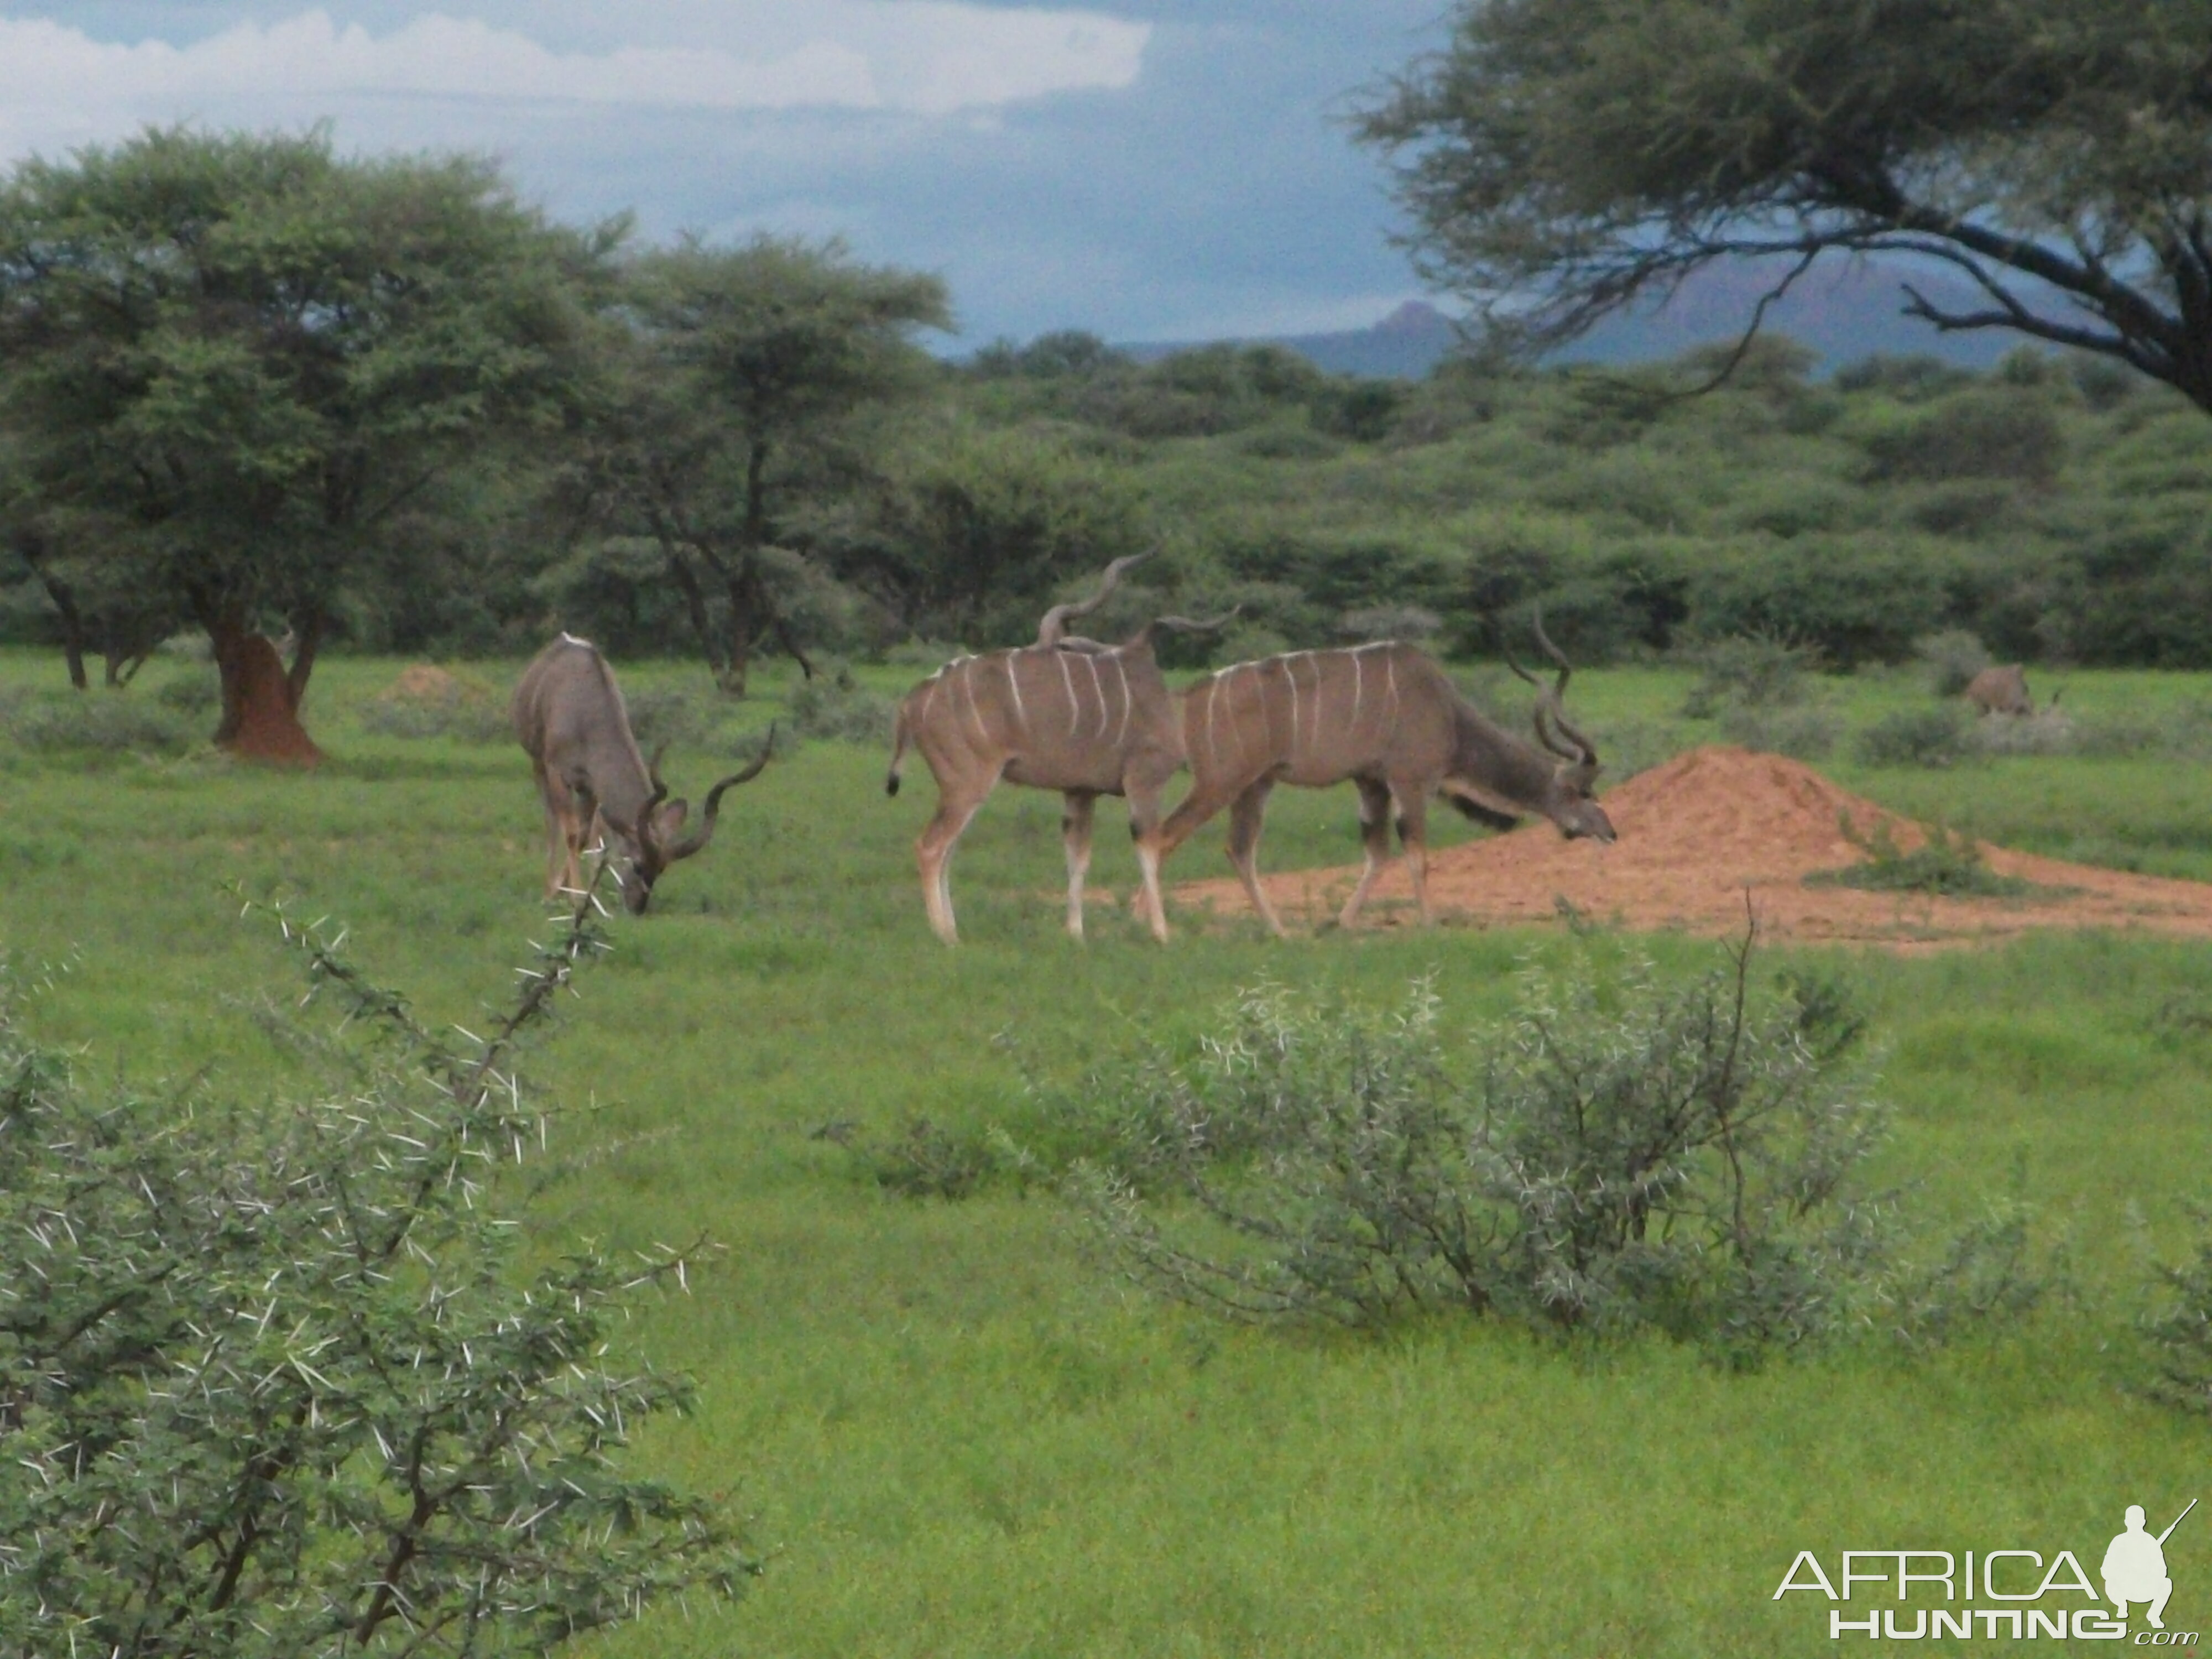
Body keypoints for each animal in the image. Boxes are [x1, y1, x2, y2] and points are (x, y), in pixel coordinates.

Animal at [513, 641, 774, 925]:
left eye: (661, 869)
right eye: (638, 865)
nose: (637, 906)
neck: (584, 711)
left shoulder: (592, 786)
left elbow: (585, 836)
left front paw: (582, 896)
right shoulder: (557, 772)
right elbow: (570, 833)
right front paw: (573, 899)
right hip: (539, 765)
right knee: (551, 819)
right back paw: (550, 892)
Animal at [880, 560, 1230, 947]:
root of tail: (914, 699)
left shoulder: (1080, 791)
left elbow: (1078, 857)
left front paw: (1076, 934)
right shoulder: (1144, 781)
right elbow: (1149, 849)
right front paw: (1162, 934)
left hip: (962, 789)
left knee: (947, 849)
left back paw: (953, 931)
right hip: (968, 783)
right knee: (930, 847)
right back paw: (946, 937)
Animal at [1159, 624, 1610, 938]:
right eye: (1584, 791)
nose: (1611, 832)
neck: (1447, 713)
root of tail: (1188, 698)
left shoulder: (1370, 782)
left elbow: (1377, 854)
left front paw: (1338, 923)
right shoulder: (1410, 782)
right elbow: (1416, 855)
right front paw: (1430, 924)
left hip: (1256, 784)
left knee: (1238, 849)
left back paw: (1280, 931)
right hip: (1220, 782)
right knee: (1163, 836)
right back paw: (1155, 929)